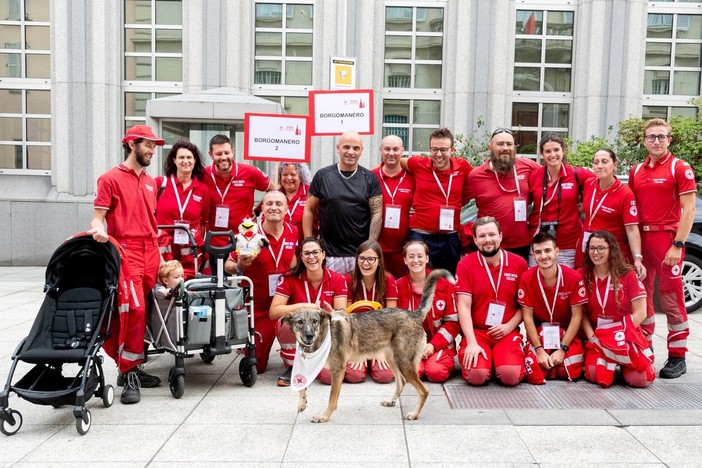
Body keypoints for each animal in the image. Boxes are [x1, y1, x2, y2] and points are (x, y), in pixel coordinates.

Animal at [282, 268, 454, 422]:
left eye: (314, 321)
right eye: (300, 322)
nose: (309, 336)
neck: (323, 337)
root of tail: (413, 314)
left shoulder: (337, 371)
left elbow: (331, 399)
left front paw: (324, 417)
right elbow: (302, 387)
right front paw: (302, 404)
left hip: (404, 364)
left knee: (424, 391)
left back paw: (414, 414)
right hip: (394, 360)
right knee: (402, 382)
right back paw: (391, 401)